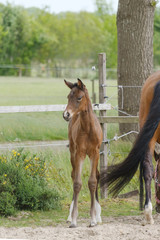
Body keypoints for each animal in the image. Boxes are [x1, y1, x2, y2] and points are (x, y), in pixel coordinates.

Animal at [62, 78, 102, 227]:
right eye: (68, 97)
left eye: (79, 97)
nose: (66, 114)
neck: (88, 129)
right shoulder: (79, 153)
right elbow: (77, 183)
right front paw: (73, 220)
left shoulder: (95, 153)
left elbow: (92, 181)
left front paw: (93, 219)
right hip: (72, 153)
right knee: (74, 175)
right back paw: (69, 216)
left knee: (97, 175)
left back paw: (98, 215)